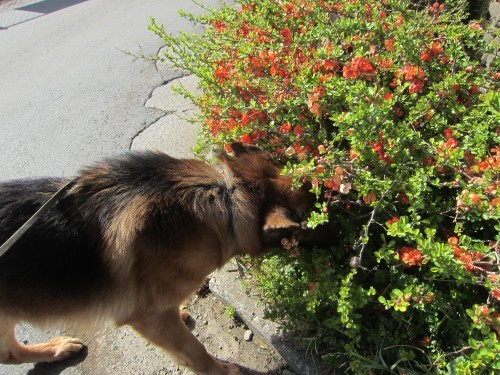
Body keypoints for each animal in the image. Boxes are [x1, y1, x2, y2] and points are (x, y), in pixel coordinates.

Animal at [0, 143, 312, 374]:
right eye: (312, 219)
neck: (224, 200)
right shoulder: (148, 316)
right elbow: (195, 351)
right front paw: (221, 371)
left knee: (9, 353)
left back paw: (55, 349)